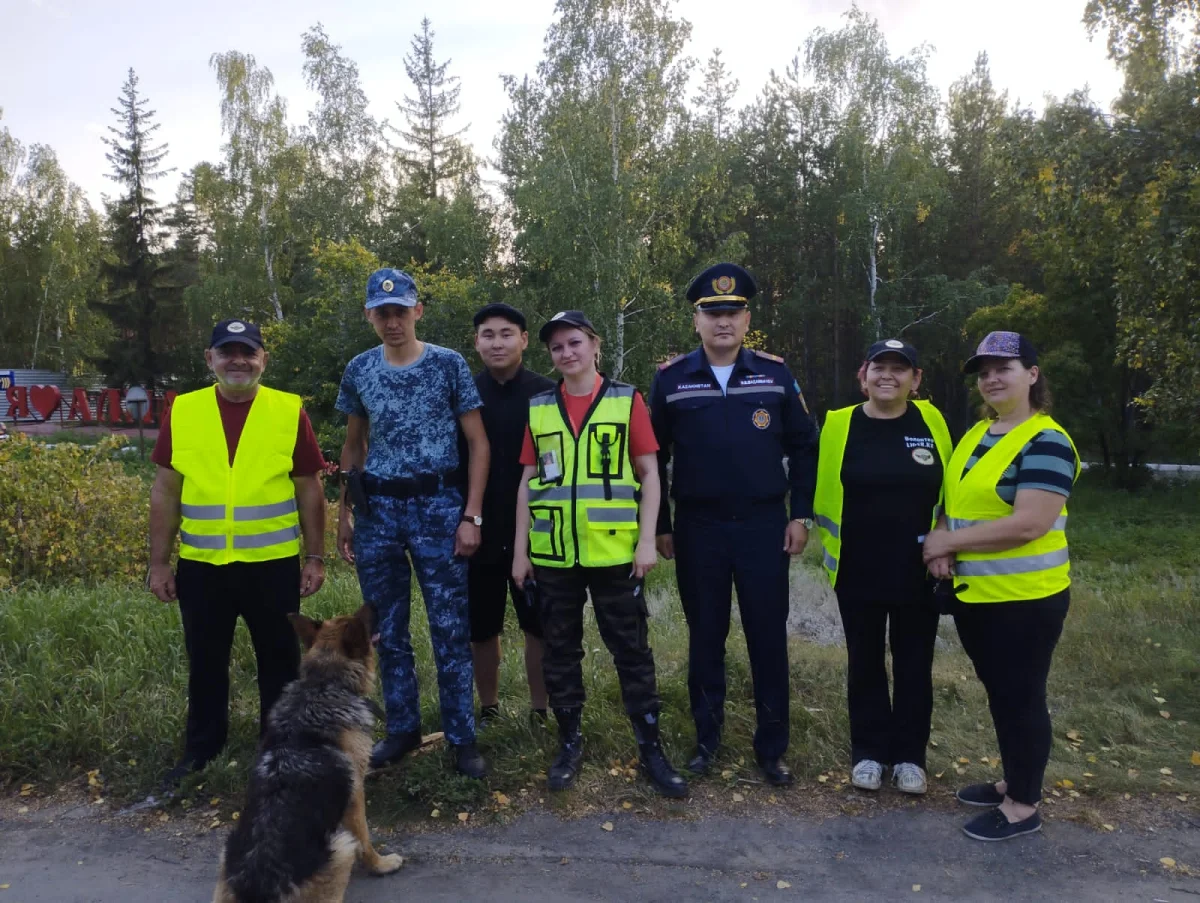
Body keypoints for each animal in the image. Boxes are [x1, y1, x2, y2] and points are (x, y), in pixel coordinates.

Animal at [213, 607, 405, 903]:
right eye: (360, 618)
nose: (374, 603)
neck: (323, 682)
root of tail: (259, 885)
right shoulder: (355, 796)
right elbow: (365, 838)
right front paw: (380, 864)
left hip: (225, 857)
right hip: (340, 849)